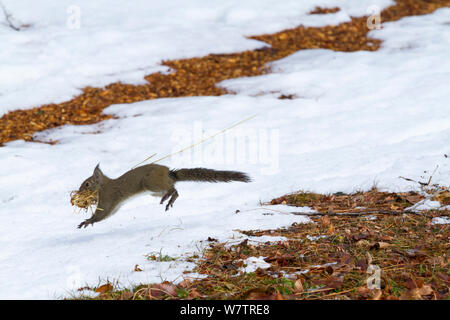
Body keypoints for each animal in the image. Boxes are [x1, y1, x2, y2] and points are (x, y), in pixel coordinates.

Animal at [74, 164, 250, 229]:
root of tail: (169, 174)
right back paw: (169, 200)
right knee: (176, 191)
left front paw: (87, 221)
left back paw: (168, 198)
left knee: (172, 189)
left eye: (87, 184)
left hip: (150, 184)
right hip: (153, 191)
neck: (103, 186)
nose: (78, 191)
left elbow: (102, 214)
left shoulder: (108, 197)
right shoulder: (115, 205)